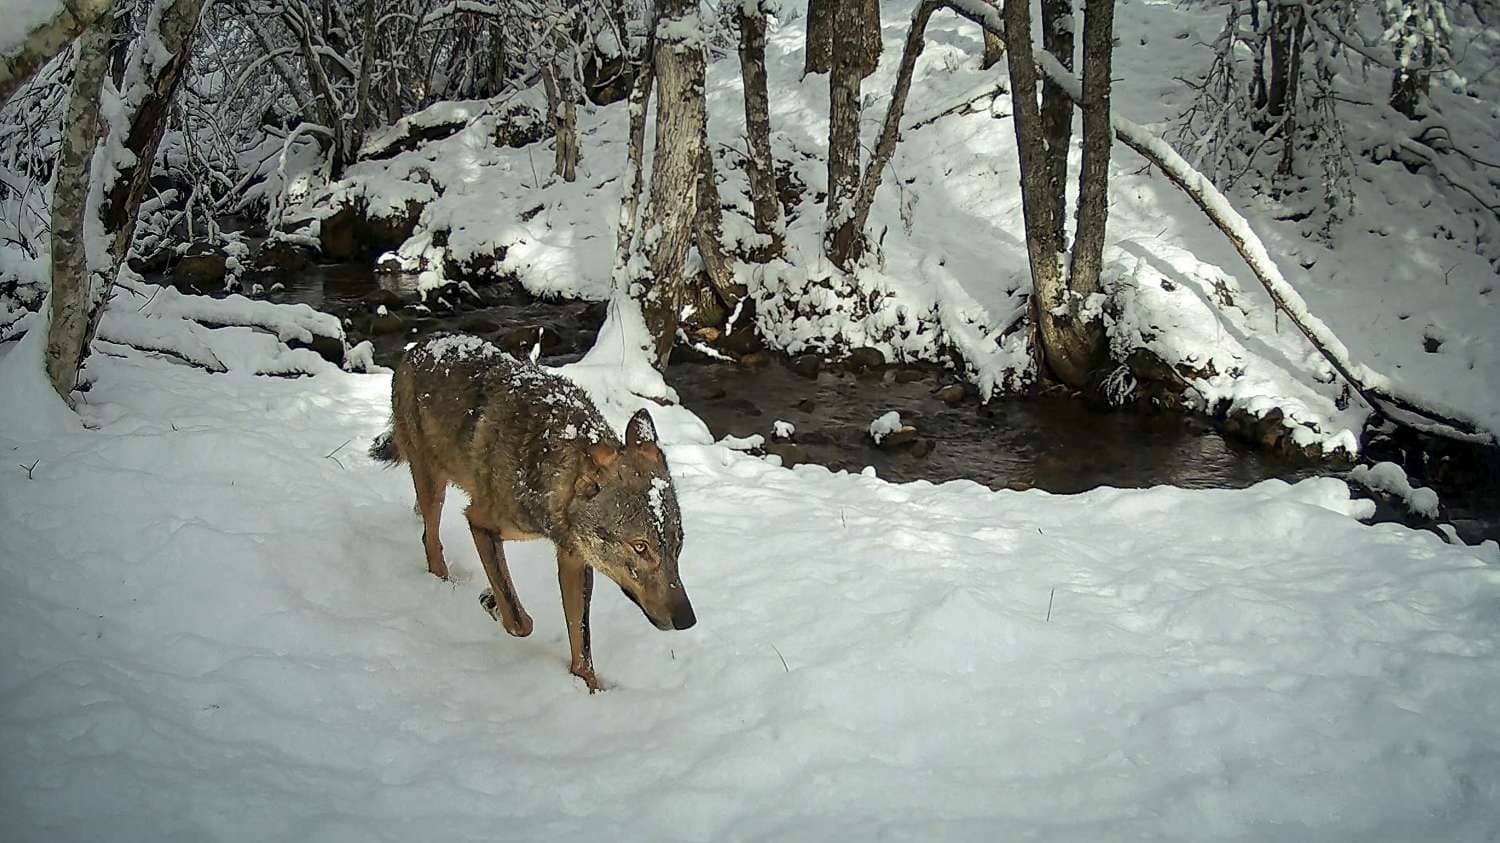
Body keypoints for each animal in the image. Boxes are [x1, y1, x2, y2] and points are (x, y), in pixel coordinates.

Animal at [371, 334, 695, 691]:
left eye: (678, 544)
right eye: (640, 547)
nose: (688, 620)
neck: (544, 473)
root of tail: (420, 345)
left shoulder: (574, 559)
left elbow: (581, 641)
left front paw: (591, 690)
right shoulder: (480, 523)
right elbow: (519, 621)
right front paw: (492, 602)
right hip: (434, 484)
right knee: (430, 540)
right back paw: (444, 582)